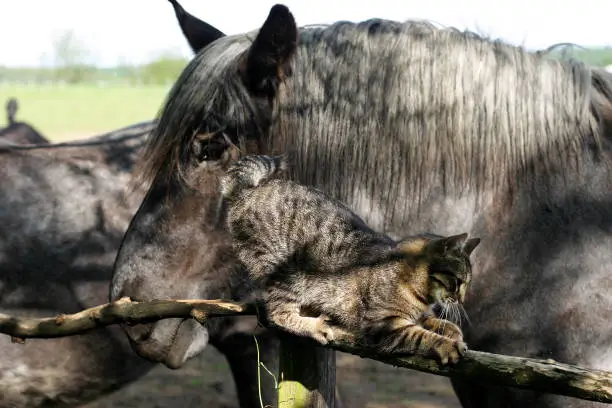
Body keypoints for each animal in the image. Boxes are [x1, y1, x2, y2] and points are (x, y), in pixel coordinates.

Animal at [221, 155, 482, 364]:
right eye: (458, 281)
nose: (462, 299)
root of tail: (246, 191)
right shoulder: (384, 325)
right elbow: (421, 335)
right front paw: (446, 344)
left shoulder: (415, 315)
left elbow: (435, 322)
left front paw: (452, 330)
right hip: (285, 270)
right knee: (278, 313)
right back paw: (315, 326)